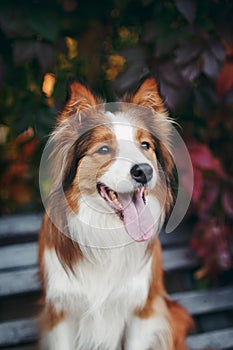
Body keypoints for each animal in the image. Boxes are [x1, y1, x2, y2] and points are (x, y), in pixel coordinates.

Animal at [38, 75, 193, 348]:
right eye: (103, 149)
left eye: (145, 145)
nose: (144, 171)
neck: (107, 231)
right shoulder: (59, 312)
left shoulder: (142, 311)